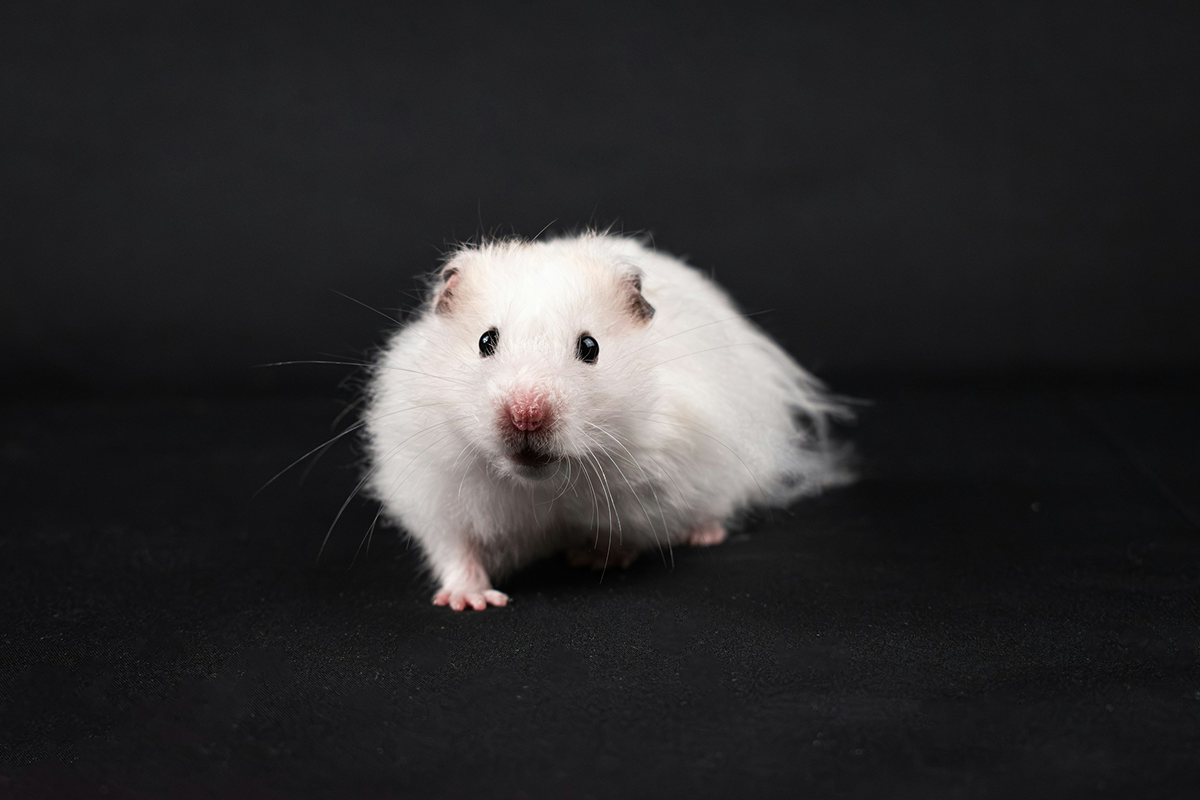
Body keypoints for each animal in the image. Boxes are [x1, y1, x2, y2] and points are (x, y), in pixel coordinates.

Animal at [362, 232, 853, 610]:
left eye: (590, 346)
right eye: (485, 341)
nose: (526, 415)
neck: (542, 486)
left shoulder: (659, 482)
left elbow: (633, 530)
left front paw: (596, 559)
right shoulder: (433, 487)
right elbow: (456, 550)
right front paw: (472, 602)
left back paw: (704, 535)